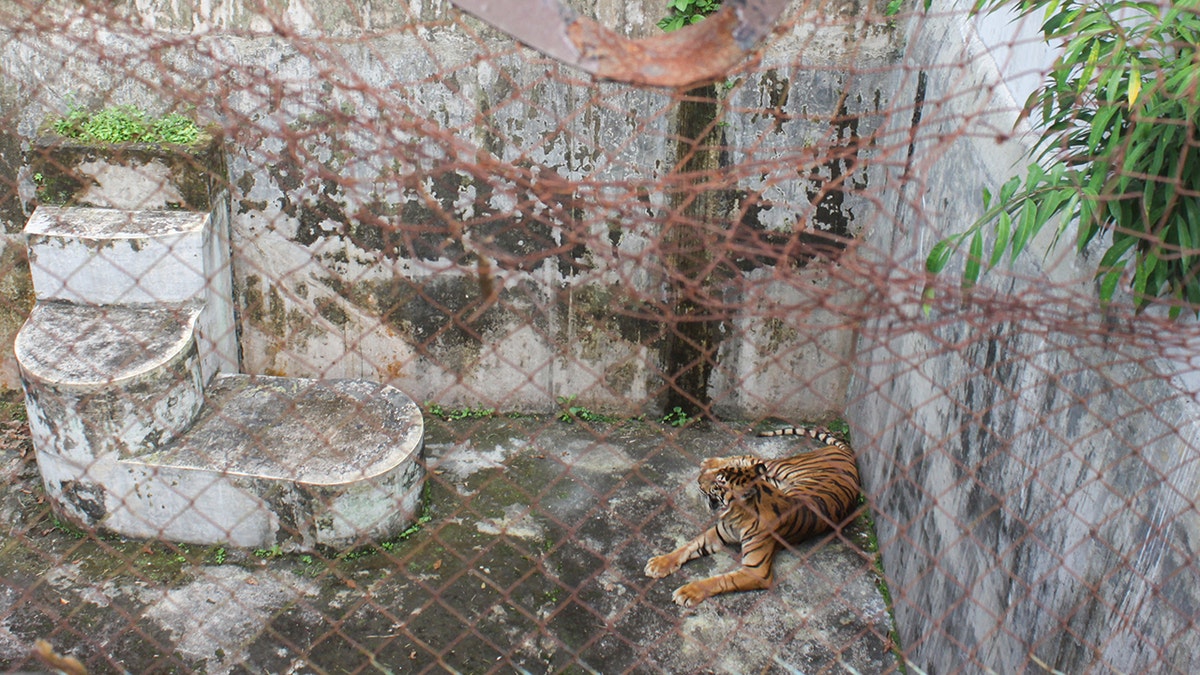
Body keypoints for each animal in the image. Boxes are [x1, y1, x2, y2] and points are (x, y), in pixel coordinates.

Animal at [644, 425, 861, 607]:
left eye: (719, 483)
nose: (699, 480)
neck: (737, 515)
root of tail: (848, 453)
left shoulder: (756, 571)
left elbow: (720, 580)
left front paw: (688, 592)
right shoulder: (718, 533)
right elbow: (688, 546)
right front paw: (660, 563)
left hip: (781, 469)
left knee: (755, 459)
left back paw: (708, 463)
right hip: (774, 471)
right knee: (752, 458)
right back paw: (710, 462)